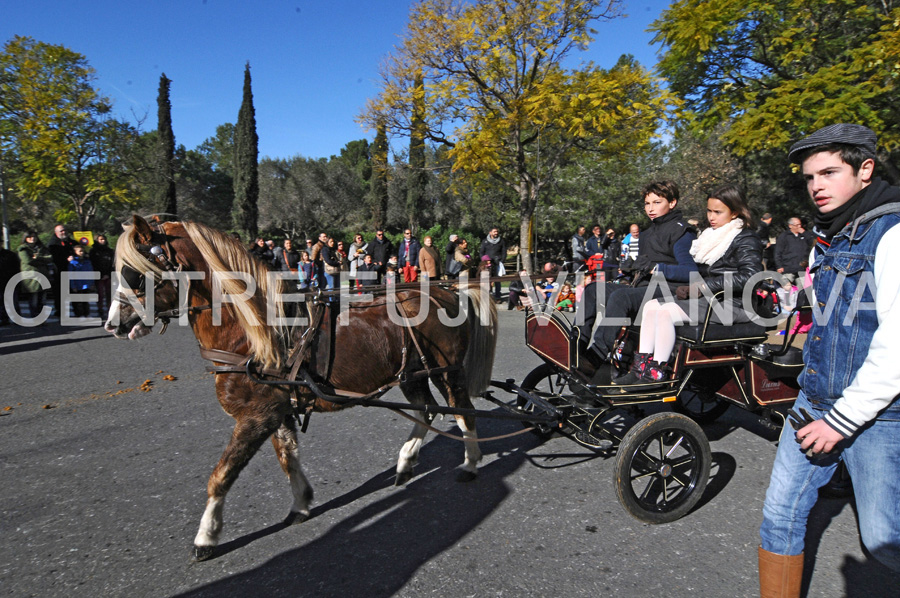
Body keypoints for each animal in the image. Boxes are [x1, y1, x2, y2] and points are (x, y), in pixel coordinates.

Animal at [107, 218, 500, 564]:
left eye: (135, 273)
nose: (112, 324)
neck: (253, 332)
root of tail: (447, 292)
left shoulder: (256, 417)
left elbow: (221, 476)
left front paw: (206, 537)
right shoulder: (276, 410)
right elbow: (288, 458)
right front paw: (301, 504)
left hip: (448, 373)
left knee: (463, 411)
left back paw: (470, 462)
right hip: (412, 374)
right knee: (425, 411)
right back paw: (405, 463)